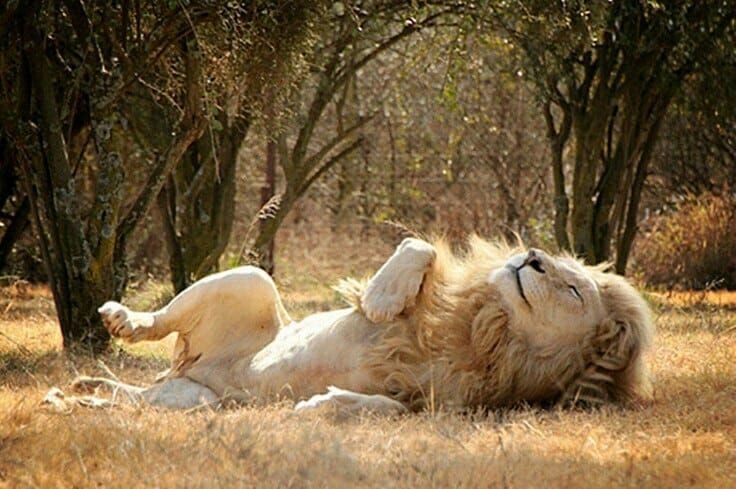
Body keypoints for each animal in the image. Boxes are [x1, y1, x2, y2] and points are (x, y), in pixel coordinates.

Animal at [56, 236, 654, 414]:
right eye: (553, 255)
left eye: (574, 290)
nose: (530, 257)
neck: (491, 330)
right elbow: (419, 246)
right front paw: (381, 299)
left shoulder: (443, 405)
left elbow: (389, 408)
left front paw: (321, 405)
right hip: (252, 278)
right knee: (159, 322)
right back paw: (121, 320)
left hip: (195, 401)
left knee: (132, 400)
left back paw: (79, 400)